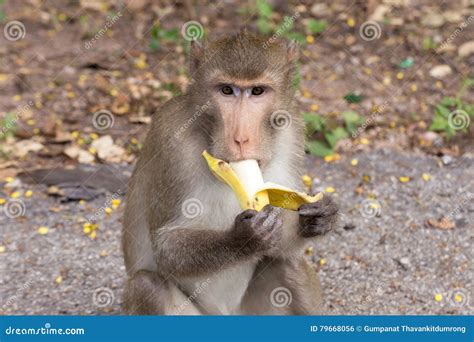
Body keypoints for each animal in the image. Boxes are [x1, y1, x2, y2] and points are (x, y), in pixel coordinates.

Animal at [122, 30, 336, 316]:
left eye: (257, 91)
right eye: (226, 90)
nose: (241, 138)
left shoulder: (292, 130)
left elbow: (282, 245)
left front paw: (319, 217)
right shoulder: (170, 139)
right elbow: (166, 247)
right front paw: (244, 238)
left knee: (289, 262)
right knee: (146, 286)